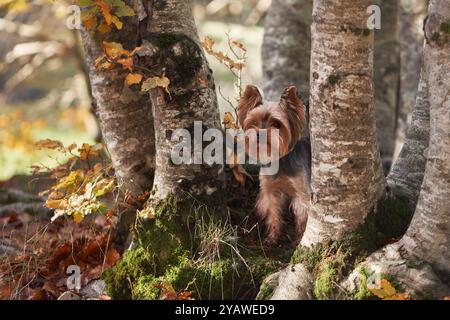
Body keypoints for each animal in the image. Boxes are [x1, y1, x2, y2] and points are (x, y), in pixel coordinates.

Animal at [237, 85, 312, 245]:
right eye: (254, 122)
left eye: (277, 124)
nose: (260, 133)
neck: (279, 160)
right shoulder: (270, 192)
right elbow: (273, 215)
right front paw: (271, 238)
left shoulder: (301, 192)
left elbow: (302, 217)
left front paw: (299, 239)